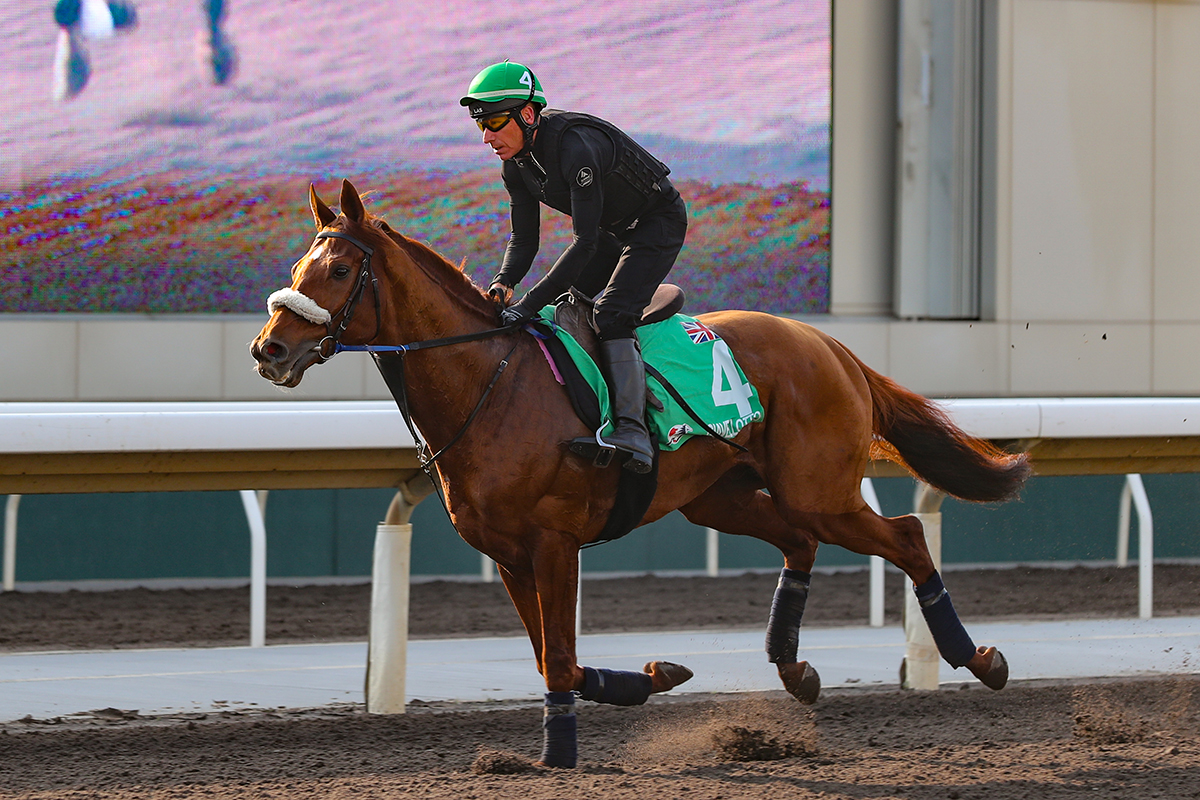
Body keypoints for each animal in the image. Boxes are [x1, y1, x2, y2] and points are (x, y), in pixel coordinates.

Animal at [250, 181, 1032, 767]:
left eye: (339, 271)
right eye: (293, 270)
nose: (268, 349)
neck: (488, 381)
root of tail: (829, 343)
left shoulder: (553, 542)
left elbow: (559, 659)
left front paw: (559, 754)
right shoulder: (507, 556)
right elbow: (554, 660)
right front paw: (654, 676)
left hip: (819, 490)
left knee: (904, 536)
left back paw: (977, 659)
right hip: (719, 498)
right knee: (800, 543)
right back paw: (794, 668)